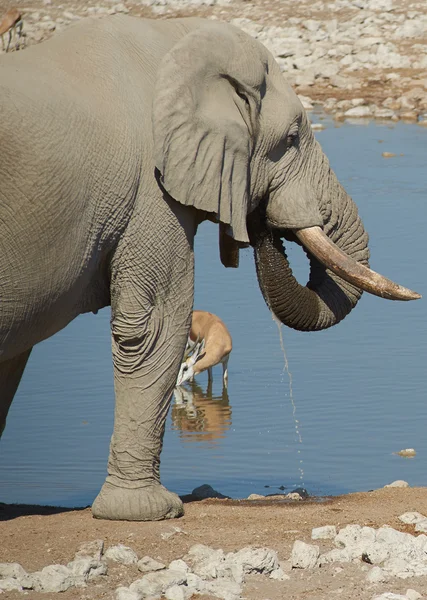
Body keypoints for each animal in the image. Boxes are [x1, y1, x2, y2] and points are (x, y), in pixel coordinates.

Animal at [0, 12, 422, 520]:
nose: (263, 220)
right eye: (292, 138)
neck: (178, 39)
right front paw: (150, 512)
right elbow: (155, 325)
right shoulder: (152, 191)